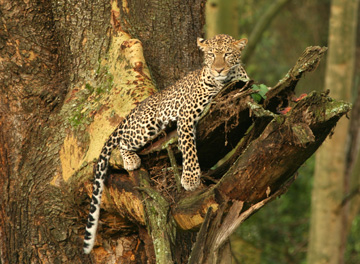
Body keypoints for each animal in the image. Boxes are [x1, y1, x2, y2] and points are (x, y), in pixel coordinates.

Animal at [83, 33, 249, 254]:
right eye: (212, 55)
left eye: (228, 54)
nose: (219, 69)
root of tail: (136, 109)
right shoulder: (186, 115)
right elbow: (189, 148)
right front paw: (190, 179)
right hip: (146, 125)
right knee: (123, 141)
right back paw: (131, 160)